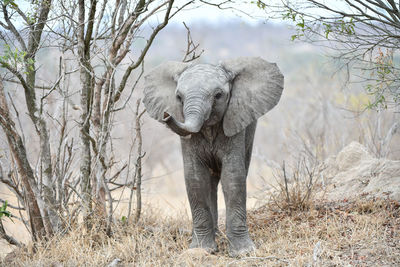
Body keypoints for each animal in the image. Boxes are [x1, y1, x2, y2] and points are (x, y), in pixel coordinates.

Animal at [142, 56, 282, 258]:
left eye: (218, 95)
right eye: (179, 97)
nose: (167, 115)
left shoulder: (234, 122)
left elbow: (233, 177)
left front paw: (242, 252)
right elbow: (195, 178)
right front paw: (202, 249)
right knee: (210, 182)